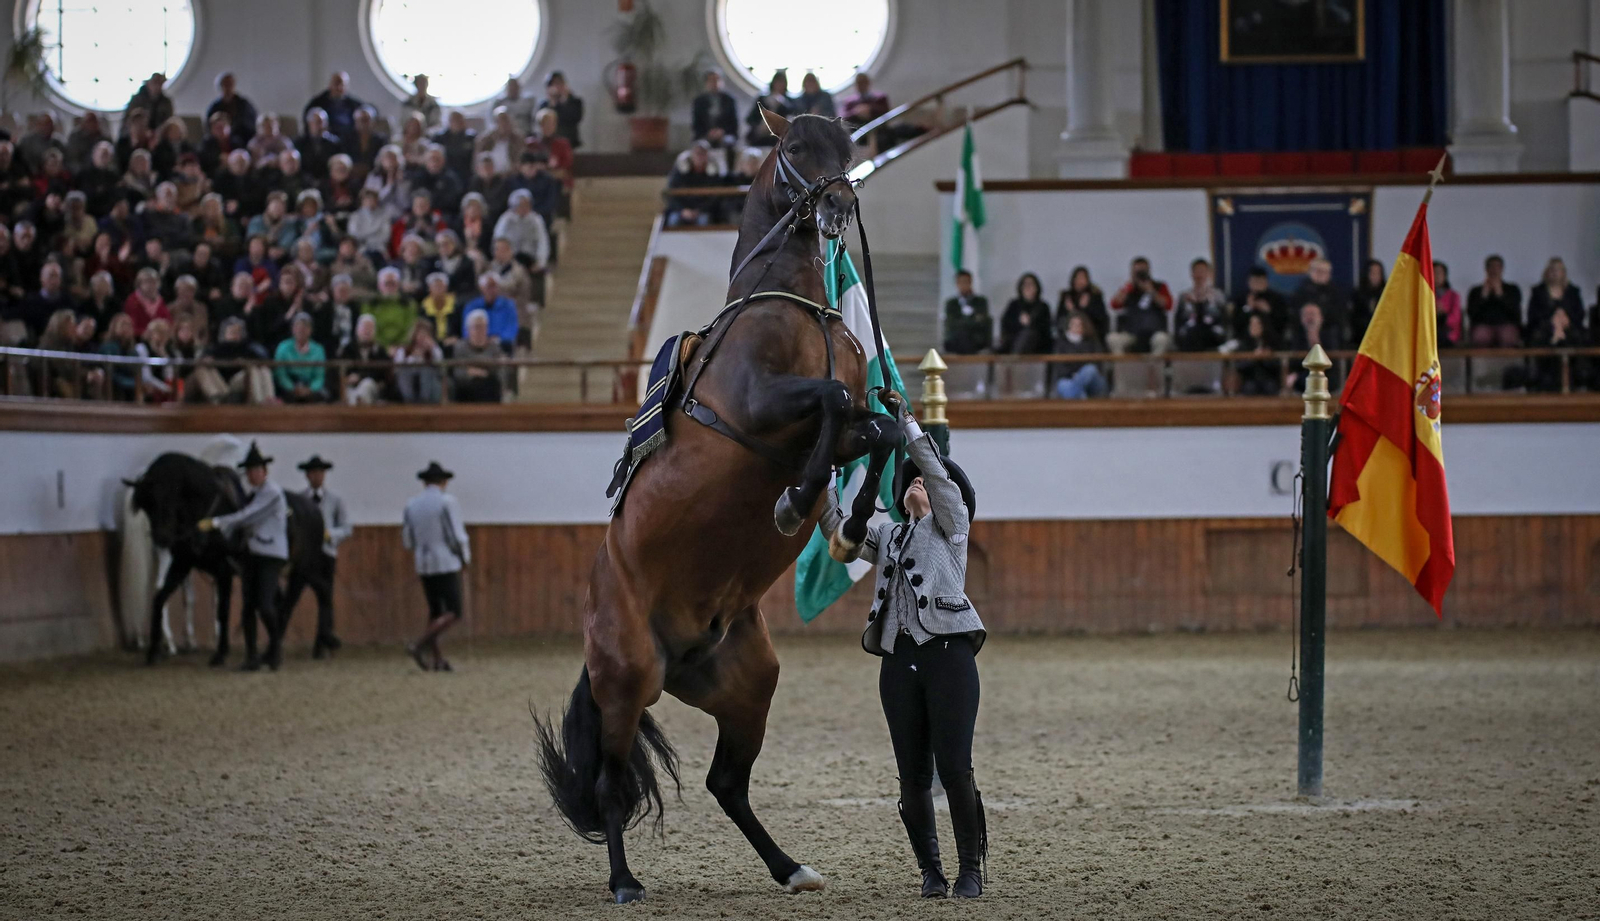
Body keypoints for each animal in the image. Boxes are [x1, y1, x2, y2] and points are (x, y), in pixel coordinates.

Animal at [125, 452, 325, 668]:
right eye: (146, 504)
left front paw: (220, 654)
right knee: (290, 600)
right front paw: (153, 652)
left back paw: (306, 649)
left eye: (168, 496)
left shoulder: (224, 570)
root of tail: (315, 509)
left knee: (293, 604)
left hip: (301, 571)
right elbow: (159, 599)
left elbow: (223, 610)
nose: (161, 538)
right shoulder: (182, 564)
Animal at [536, 110, 903, 903]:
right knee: (610, 784)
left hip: (746, 684)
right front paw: (795, 501)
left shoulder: (850, 418)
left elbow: (879, 427)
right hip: (627, 680)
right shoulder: (762, 405)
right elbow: (832, 403)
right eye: (795, 148)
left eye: (849, 148)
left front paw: (850, 525)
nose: (837, 205)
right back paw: (624, 881)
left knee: (726, 783)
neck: (794, 303)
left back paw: (790, 867)